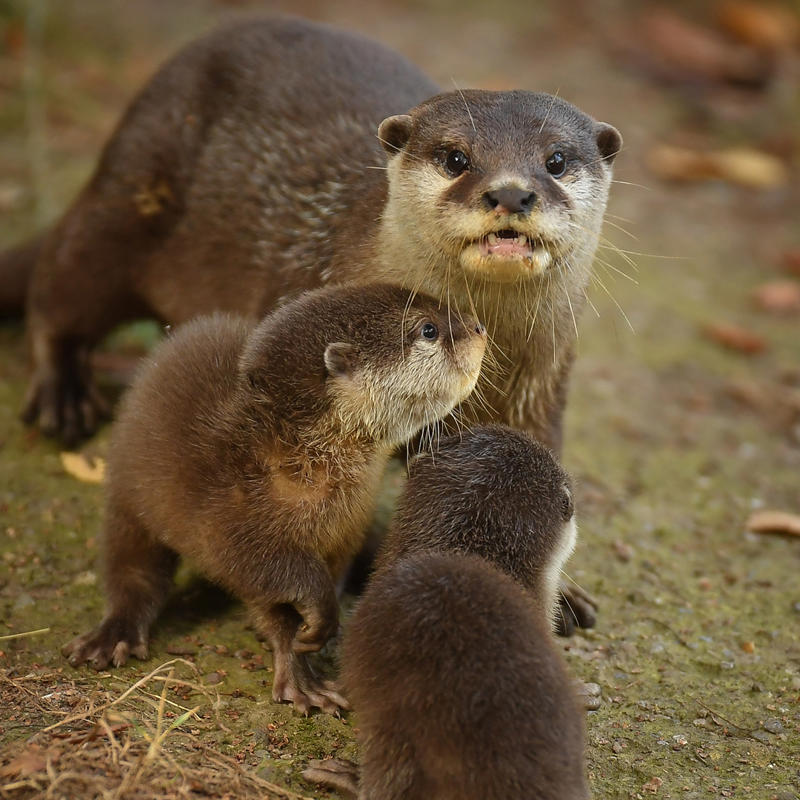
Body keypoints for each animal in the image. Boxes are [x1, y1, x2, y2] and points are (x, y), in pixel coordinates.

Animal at [62, 284, 486, 714]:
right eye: (428, 329)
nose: (479, 326)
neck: (298, 461)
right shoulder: (232, 528)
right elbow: (272, 577)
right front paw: (307, 663)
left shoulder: (343, 539)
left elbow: (291, 610)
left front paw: (311, 653)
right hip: (128, 491)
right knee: (131, 568)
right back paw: (112, 636)